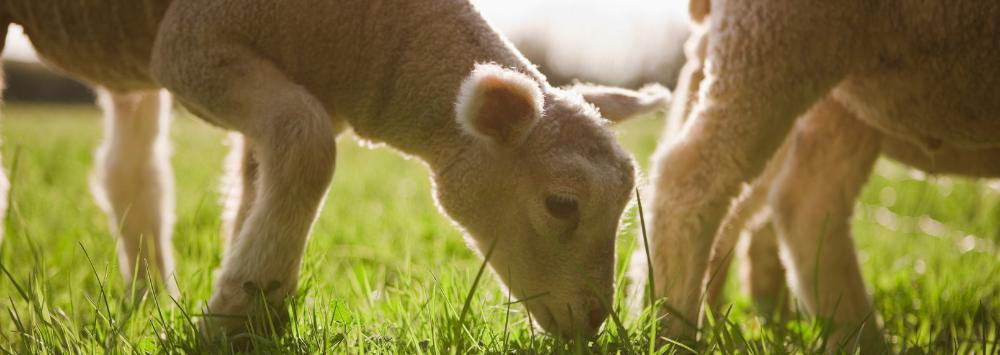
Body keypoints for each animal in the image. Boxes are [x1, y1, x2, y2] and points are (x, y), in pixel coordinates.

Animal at [3, 0, 672, 340]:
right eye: (562, 203)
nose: (592, 322)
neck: (368, 34)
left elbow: (260, 180)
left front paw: (245, 305)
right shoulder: (194, 45)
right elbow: (307, 147)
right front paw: (240, 313)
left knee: (131, 171)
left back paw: (148, 294)